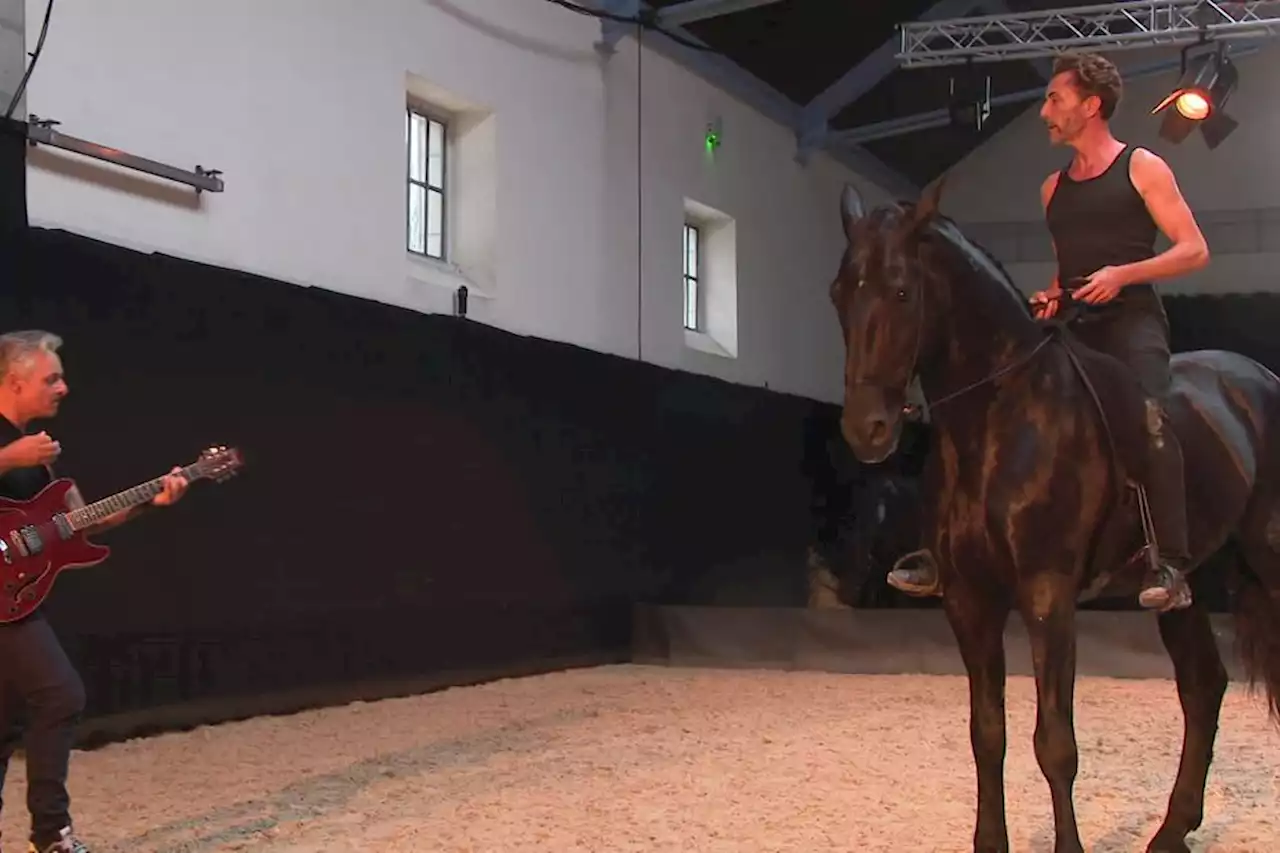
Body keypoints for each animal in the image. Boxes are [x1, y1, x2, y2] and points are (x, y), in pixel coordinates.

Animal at [829, 175, 1280, 845]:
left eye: (903, 291)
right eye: (839, 294)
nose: (867, 430)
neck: (1000, 418)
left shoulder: (1048, 595)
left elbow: (1055, 744)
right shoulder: (969, 598)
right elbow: (987, 734)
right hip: (1185, 584)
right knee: (1203, 685)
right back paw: (1171, 831)